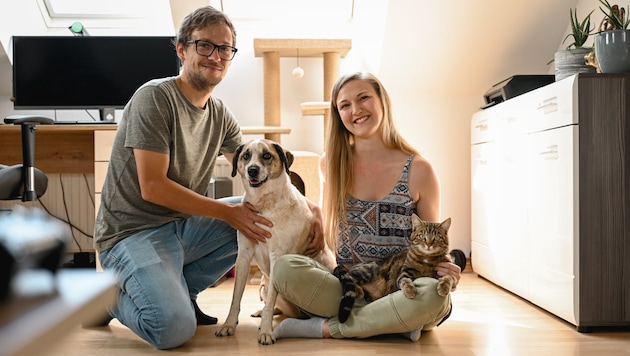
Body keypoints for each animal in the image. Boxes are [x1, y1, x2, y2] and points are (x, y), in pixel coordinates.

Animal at [215, 139, 336, 344]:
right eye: (246, 156)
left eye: (266, 155)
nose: (252, 170)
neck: (264, 205)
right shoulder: (244, 256)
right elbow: (236, 297)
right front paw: (228, 325)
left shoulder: (276, 257)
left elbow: (271, 301)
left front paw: (266, 332)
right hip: (263, 285)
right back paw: (259, 311)